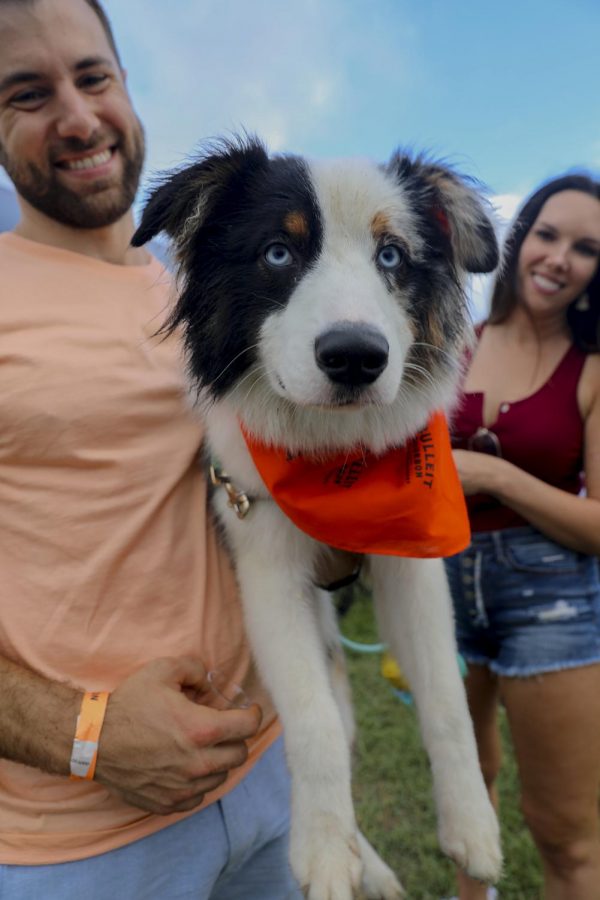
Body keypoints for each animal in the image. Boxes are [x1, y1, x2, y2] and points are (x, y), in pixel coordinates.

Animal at [134, 135, 504, 900]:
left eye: (391, 255)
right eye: (278, 252)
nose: (356, 358)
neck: (333, 454)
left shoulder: (412, 562)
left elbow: (446, 698)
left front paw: (472, 827)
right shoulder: (265, 564)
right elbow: (313, 723)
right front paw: (326, 850)